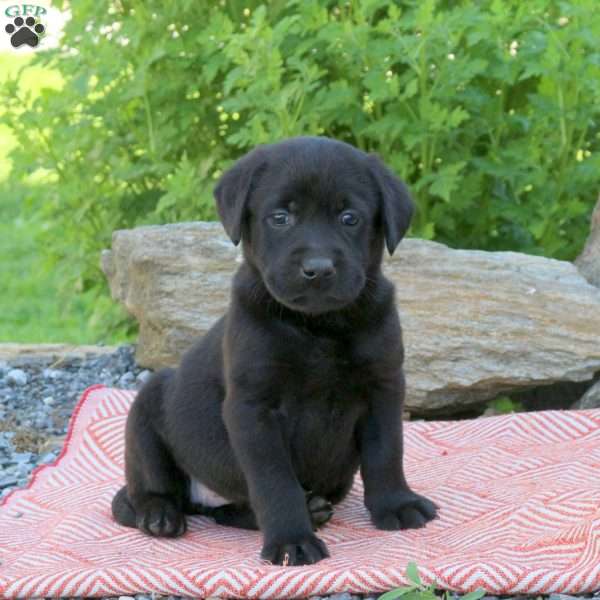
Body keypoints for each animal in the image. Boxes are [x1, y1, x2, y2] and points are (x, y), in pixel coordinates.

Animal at [112, 135, 438, 564]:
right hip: (146, 410)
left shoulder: (383, 387)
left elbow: (386, 451)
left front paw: (396, 504)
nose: (318, 268)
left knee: (230, 511)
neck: (318, 326)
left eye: (349, 217)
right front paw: (291, 540)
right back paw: (158, 514)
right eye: (281, 217)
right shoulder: (254, 408)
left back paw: (310, 509)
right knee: (148, 488)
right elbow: (274, 481)